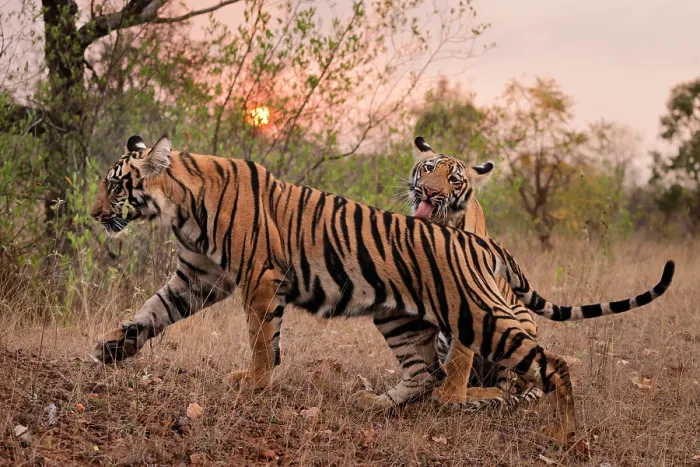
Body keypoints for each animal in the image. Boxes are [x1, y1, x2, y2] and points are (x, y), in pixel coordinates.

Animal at [90, 134, 675, 445]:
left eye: (116, 185)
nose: (94, 215)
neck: (179, 206)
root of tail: (481, 241)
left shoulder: (259, 278)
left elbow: (260, 339)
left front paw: (253, 382)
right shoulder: (197, 277)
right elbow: (149, 313)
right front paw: (109, 350)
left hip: (481, 318)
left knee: (550, 365)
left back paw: (562, 434)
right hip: (399, 317)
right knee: (426, 373)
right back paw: (376, 402)